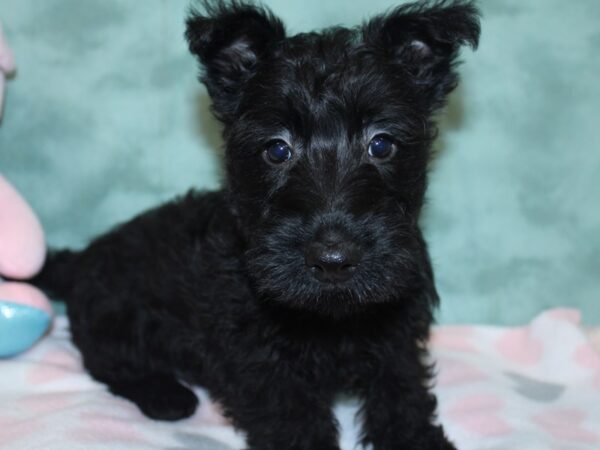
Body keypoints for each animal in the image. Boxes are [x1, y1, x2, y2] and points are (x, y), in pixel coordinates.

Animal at [35, 1, 480, 448]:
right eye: (277, 149)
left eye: (382, 144)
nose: (332, 260)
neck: (330, 313)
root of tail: (81, 259)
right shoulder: (263, 364)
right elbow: (295, 421)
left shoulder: (397, 335)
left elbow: (402, 397)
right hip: (117, 313)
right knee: (107, 361)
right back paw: (166, 395)